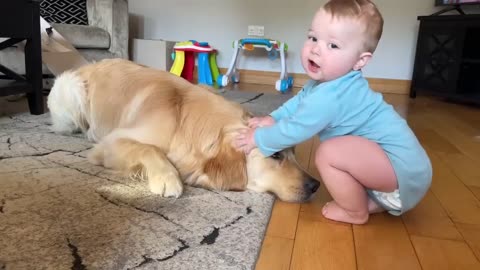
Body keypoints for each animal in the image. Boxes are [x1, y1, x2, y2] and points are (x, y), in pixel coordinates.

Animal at [47, 59, 320, 202]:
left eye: (294, 153)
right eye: (276, 155)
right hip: (73, 89)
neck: (183, 122)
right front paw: (168, 178)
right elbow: (150, 149)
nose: (316, 185)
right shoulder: (110, 143)